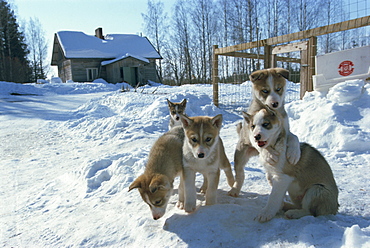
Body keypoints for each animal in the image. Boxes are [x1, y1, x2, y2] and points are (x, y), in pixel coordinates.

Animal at [230, 68, 302, 198]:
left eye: (278, 88)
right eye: (265, 91)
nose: (275, 104)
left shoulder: (285, 130)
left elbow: (294, 137)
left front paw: (294, 154)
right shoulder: (251, 131)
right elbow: (259, 143)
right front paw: (269, 154)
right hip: (241, 154)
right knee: (240, 174)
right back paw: (235, 189)